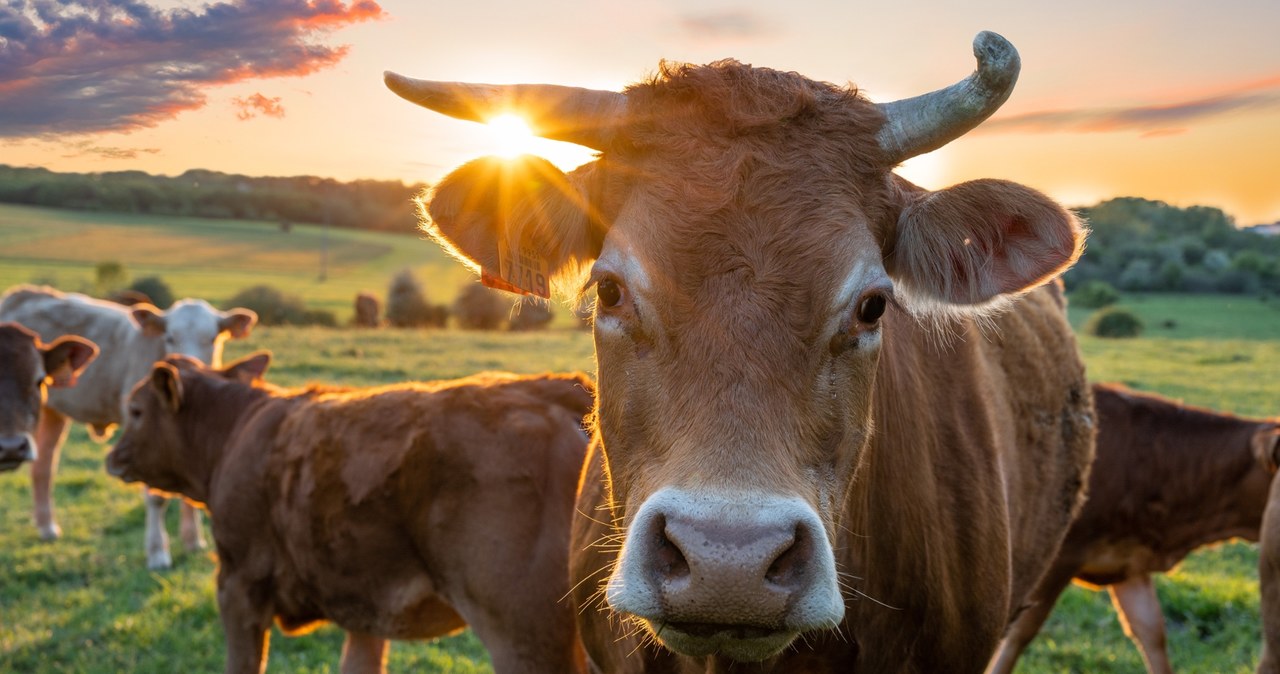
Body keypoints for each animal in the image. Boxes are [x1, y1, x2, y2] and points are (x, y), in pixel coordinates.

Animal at [104, 352, 593, 674]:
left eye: (135, 410)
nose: (112, 454)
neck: (234, 432)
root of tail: (549, 389)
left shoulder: (238, 583)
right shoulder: (367, 598)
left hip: (525, 634)